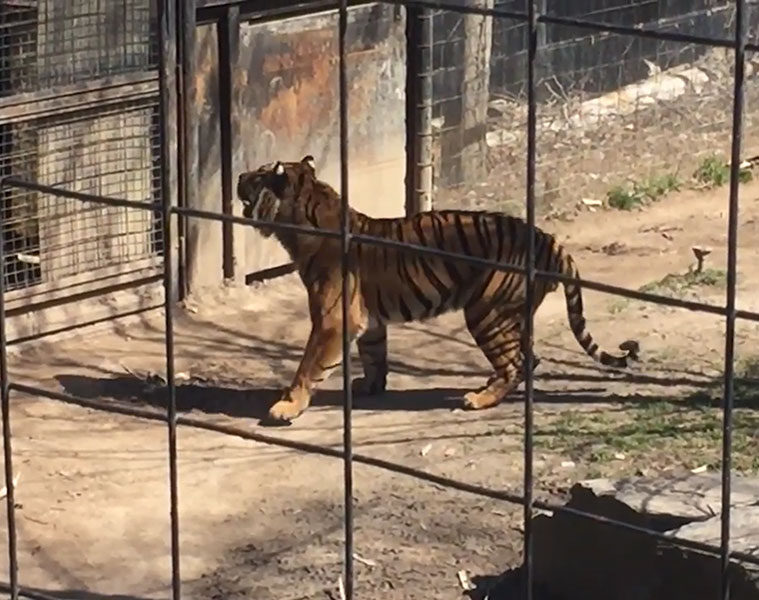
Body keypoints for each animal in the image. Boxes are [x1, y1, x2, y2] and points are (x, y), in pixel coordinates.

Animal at [236, 157, 636, 424]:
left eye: (257, 174)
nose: (238, 175)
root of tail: (550, 241)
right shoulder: (368, 320)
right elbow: (374, 354)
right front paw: (370, 385)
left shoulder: (333, 319)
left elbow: (308, 366)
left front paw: (287, 406)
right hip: (511, 314)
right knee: (528, 359)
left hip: (486, 311)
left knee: (517, 363)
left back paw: (479, 399)